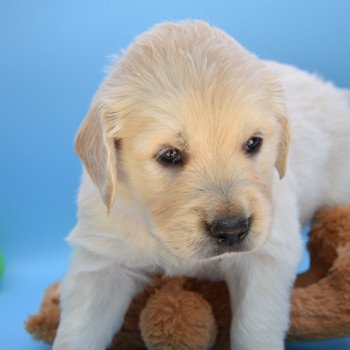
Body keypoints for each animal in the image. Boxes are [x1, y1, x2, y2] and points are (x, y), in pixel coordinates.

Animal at [52, 20, 350, 348]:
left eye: (253, 143)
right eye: (170, 155)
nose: (232, 229)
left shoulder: (266, 253)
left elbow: (255, 326)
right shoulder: (102, 258)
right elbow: (78, 330)